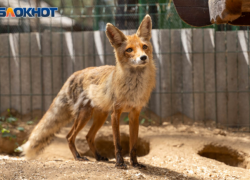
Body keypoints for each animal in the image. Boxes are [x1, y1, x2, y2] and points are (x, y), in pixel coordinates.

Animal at [23, 14, 156, 169]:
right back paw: (78, 157)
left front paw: (135, 163)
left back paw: (98, 157)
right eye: (129, 50)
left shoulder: (134, 114)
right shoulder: (115, 113)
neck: (134, 87)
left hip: (101, 115)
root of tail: (75, 73)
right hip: (85, 115)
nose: (143, 57)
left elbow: (133, 144)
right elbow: (117, 143)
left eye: (144, 47)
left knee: (88, 136)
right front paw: (120, 163)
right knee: (70, 136)